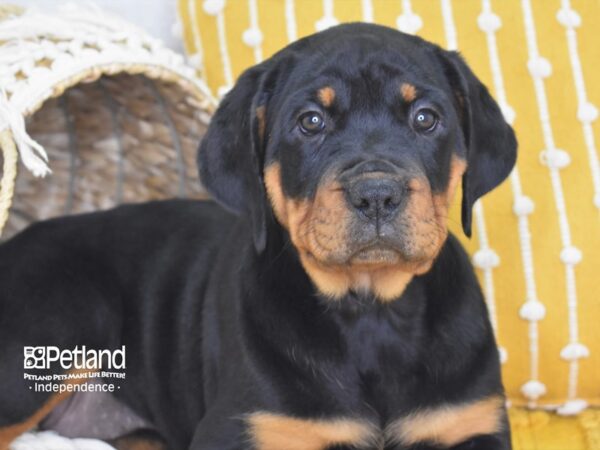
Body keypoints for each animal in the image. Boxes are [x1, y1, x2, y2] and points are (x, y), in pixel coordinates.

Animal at [0, 23, 516, 450]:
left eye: (426, 118)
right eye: (311, 121)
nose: (376, 194)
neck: (372, 313)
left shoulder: (470, 421)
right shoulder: (243, 427)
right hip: (62, 324)